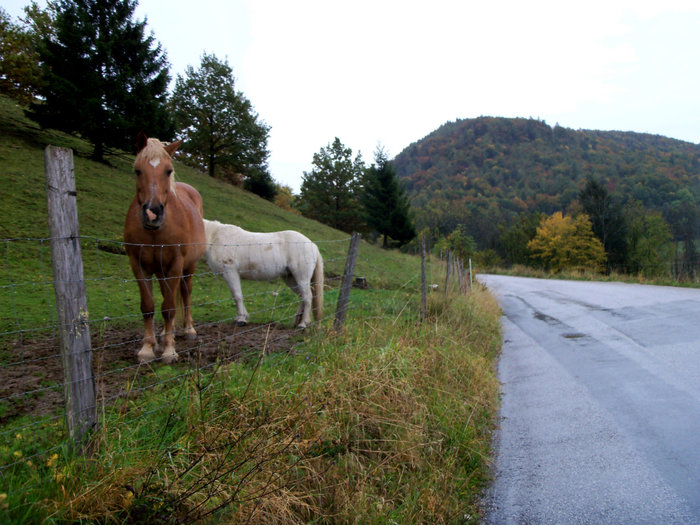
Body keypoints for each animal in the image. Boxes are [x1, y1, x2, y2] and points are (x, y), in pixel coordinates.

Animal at [124, 134, 205, 364]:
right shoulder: (137, 264)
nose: (152, 213)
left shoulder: (176, 264)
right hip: (160, 271)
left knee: (185, 293)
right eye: (137, 170)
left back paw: (188, 329)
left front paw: (169, 350)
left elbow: (169, 308)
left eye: (168, 170)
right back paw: (162, 334)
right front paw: (147, 348)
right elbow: (148, 306)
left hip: (187, 268)